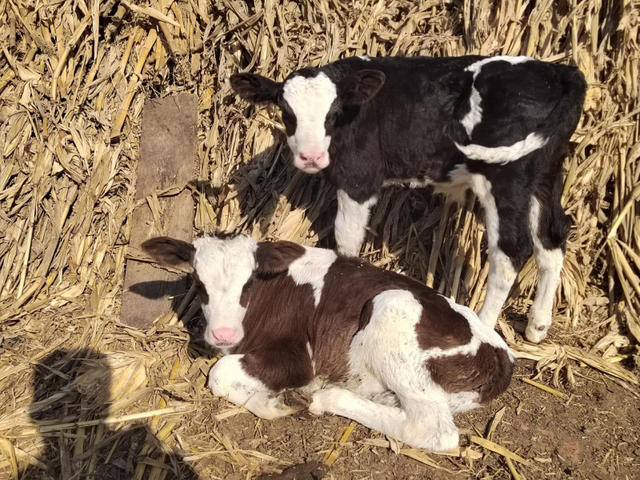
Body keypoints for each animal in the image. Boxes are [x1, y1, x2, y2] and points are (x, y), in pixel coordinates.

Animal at [141, 234, 516, 452]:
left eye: (248, 283)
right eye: (199, 283)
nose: (223, 334)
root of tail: (503, 356)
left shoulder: (298, 358)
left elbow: (219, 374)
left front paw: (270, 402)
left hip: (392, 308)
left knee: (434, 430)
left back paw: (324, 398)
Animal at [229, 54, 584, 344]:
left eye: (333, 113)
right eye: (287, 113)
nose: (311, 157)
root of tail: (560, 71)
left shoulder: (358, 180)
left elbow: (346, 240)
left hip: (506, 176)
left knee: (511, 251)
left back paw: (484, 326)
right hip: (544, 174)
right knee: (552, 236)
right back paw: (537, 327)